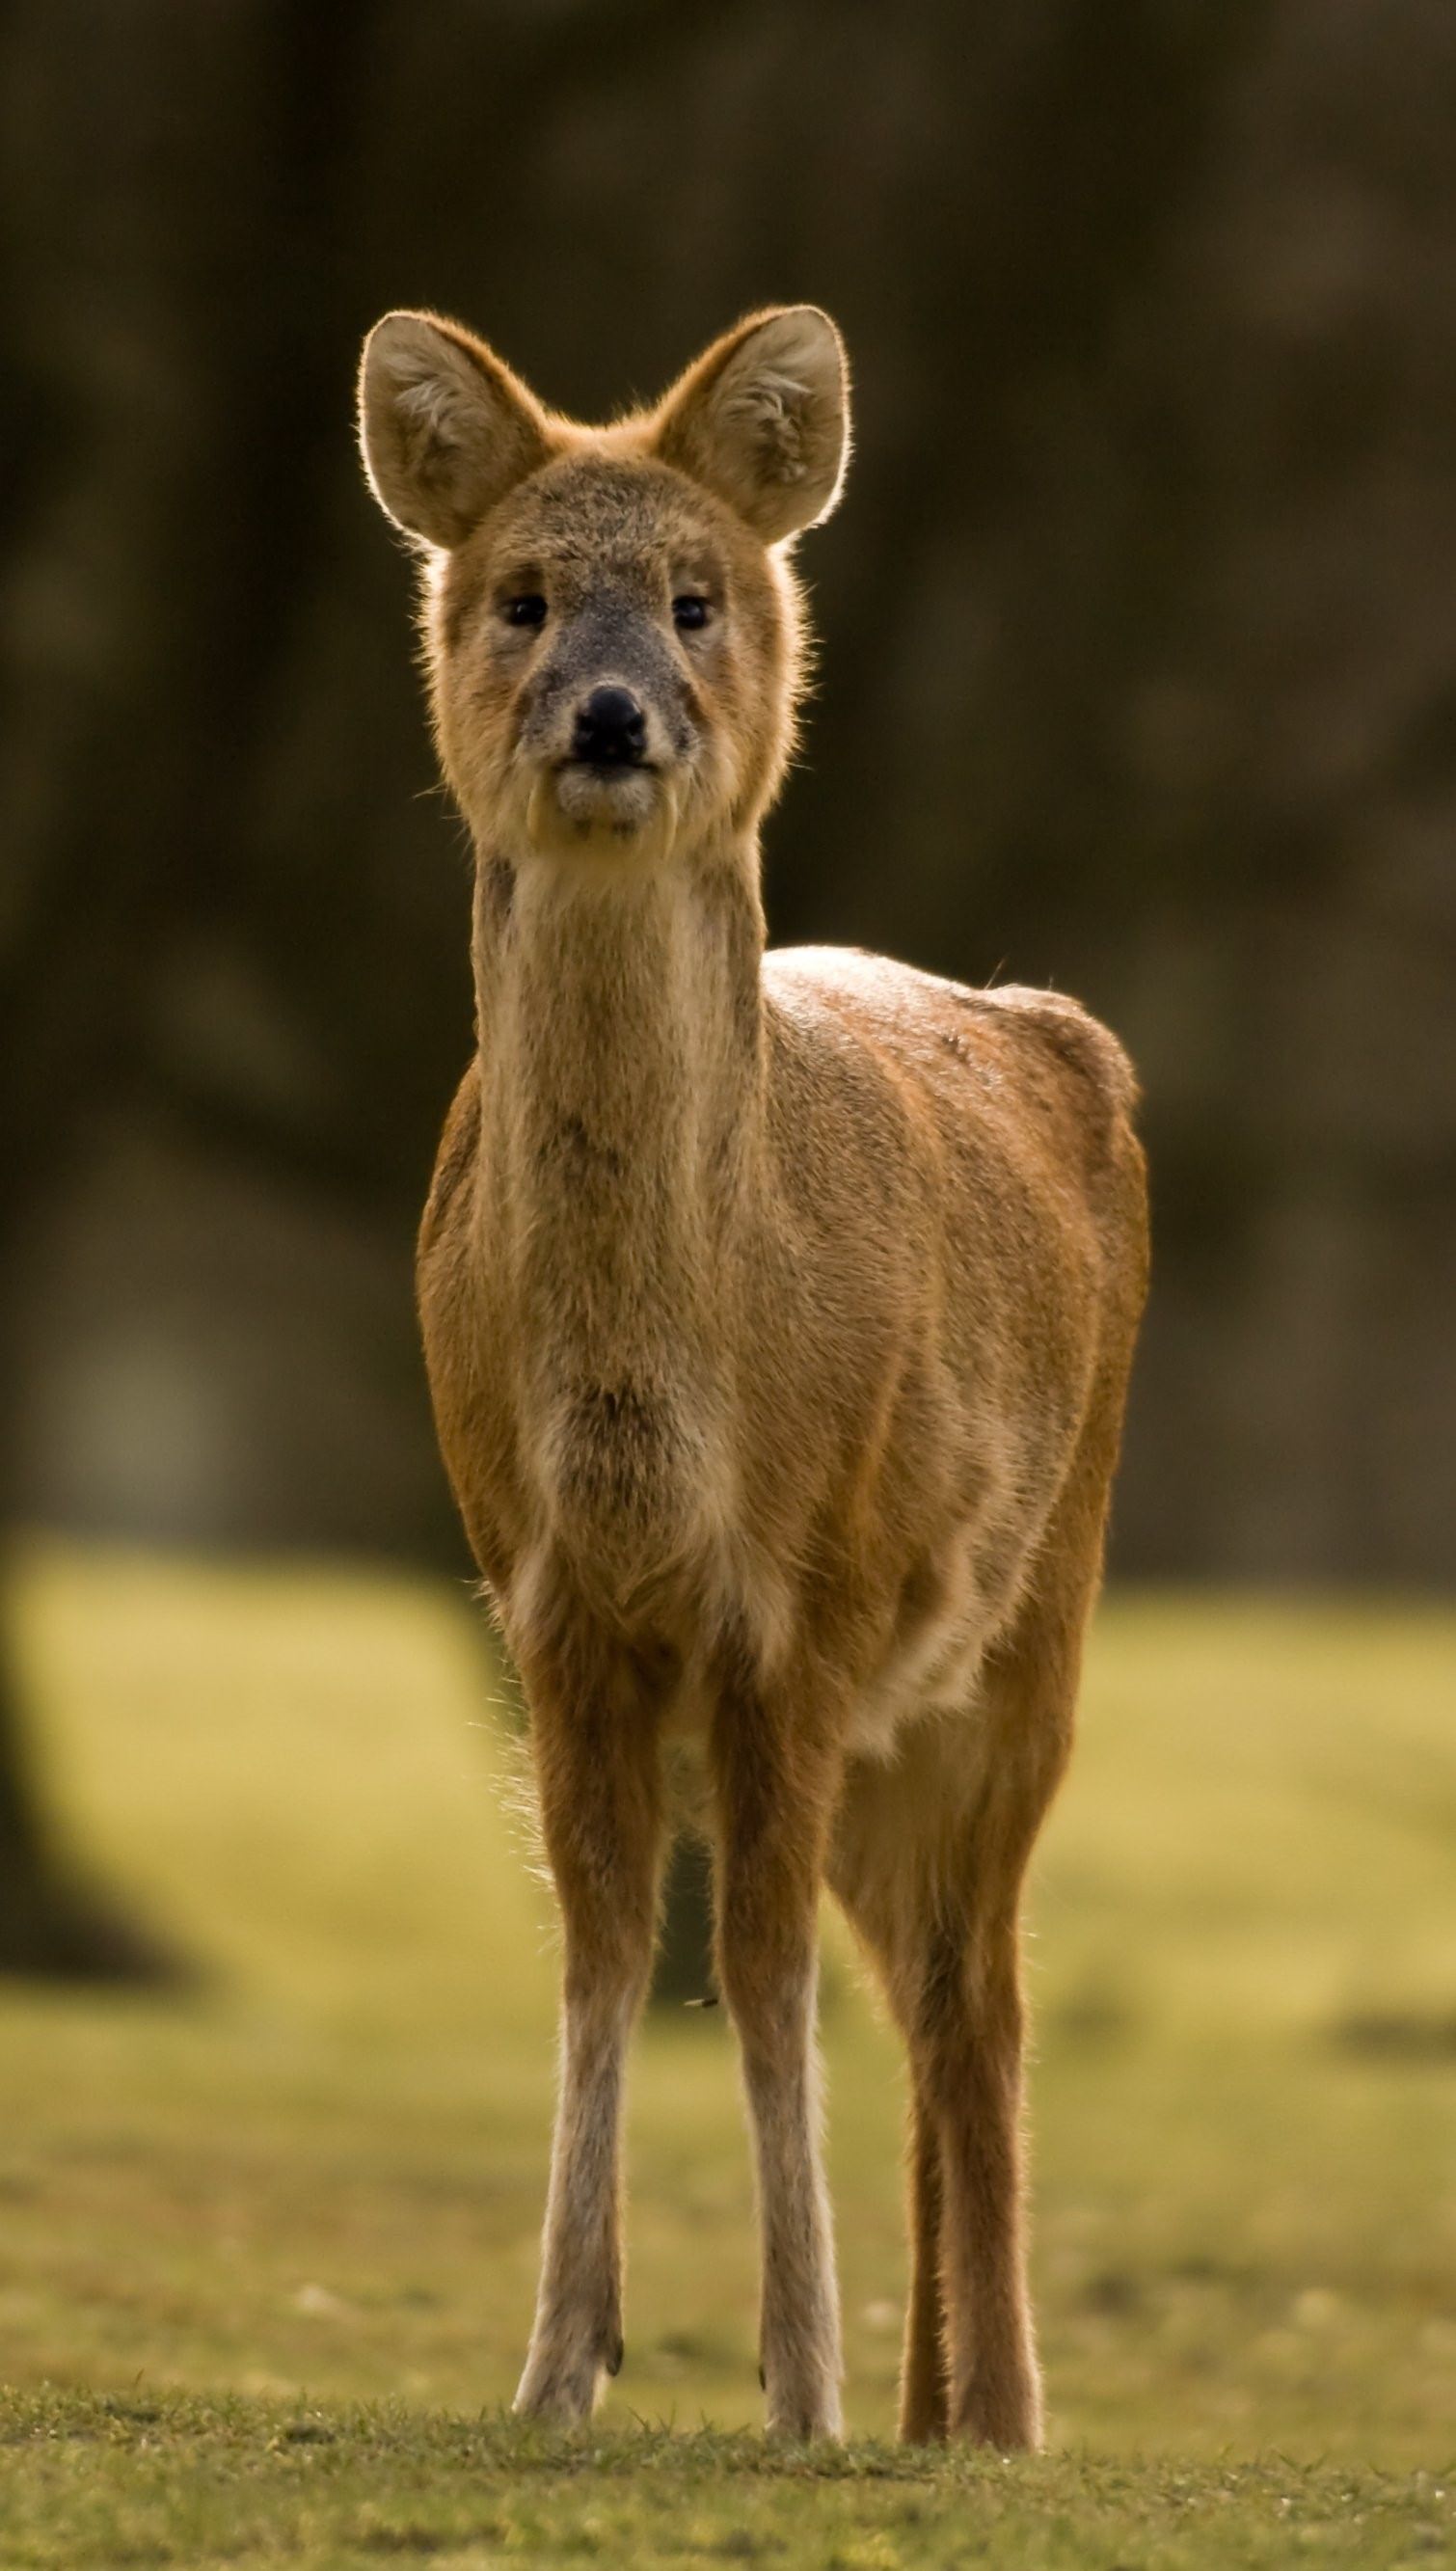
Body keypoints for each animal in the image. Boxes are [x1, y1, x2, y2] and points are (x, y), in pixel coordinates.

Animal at [357, 300, 1152, 2448]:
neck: (660, 1405)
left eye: (699, 596)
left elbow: (761, 1966)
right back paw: (937, 2405)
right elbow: (606, 1947)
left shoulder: (802, 1585)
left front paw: (793, 2387)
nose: (611, 716)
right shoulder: (541, 1590)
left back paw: (1000, 2413)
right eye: (525, 597)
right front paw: (560, 2365)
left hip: (1029, 1622)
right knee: (924, 1982)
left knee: (979, 1991)